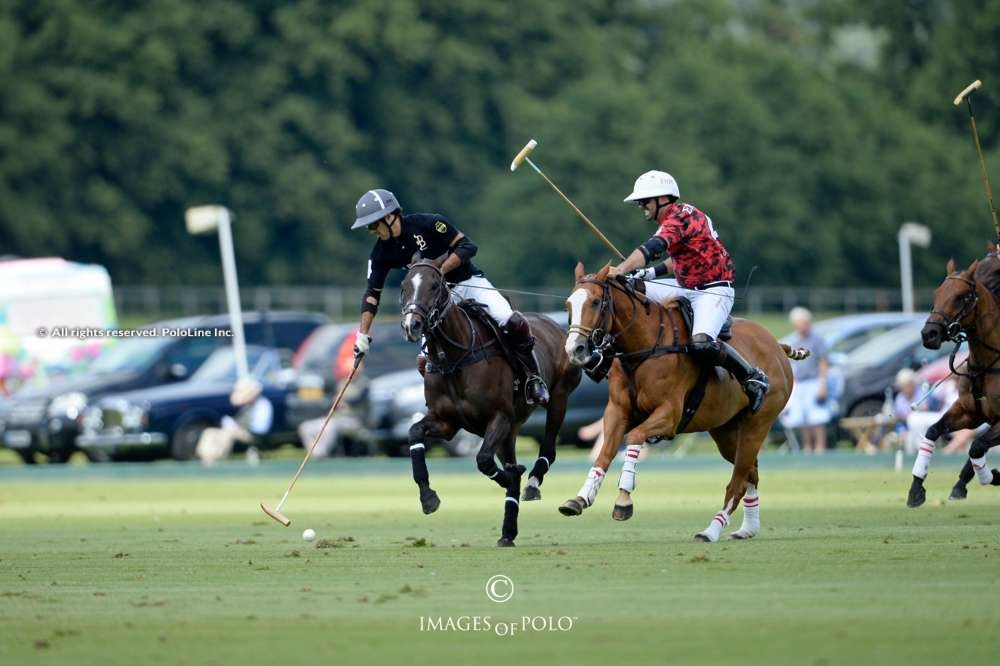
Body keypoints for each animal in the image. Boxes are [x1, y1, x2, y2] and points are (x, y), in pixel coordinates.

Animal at [398, 256, 584, 544]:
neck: (454, 359)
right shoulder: (446, 423)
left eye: (434, 285)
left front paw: (511, 477)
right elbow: (414, 433)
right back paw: (508, 532)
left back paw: (531, 484)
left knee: (548, 449)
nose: (412, 325)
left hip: (559, 398)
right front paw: (428, 498)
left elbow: (484, 460)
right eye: (404, 286)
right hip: (513, 428)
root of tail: (556, 325)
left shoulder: (499, 417)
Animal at [564, 264, 804, 540]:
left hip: (758, 424)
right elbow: (603, 454)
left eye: (595, 302)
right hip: (725, 430)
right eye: (568, 304)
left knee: (737, 482)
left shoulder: (669, 415)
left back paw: (711, 530)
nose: (575, 349)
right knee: (750, 473)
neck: (645, 346)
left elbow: (634, 436)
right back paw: (748, 528)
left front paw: (623, 500)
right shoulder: (617, 411)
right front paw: (580, 498)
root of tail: (776, 344)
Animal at [908, 246, 1000, 506]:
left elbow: (976, 446)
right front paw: (916, 489)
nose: (929, 334)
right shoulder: (970, 412)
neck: (986, 363)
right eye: (938, 292)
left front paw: (994, 477)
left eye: (961, 296)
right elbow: (932, 431)